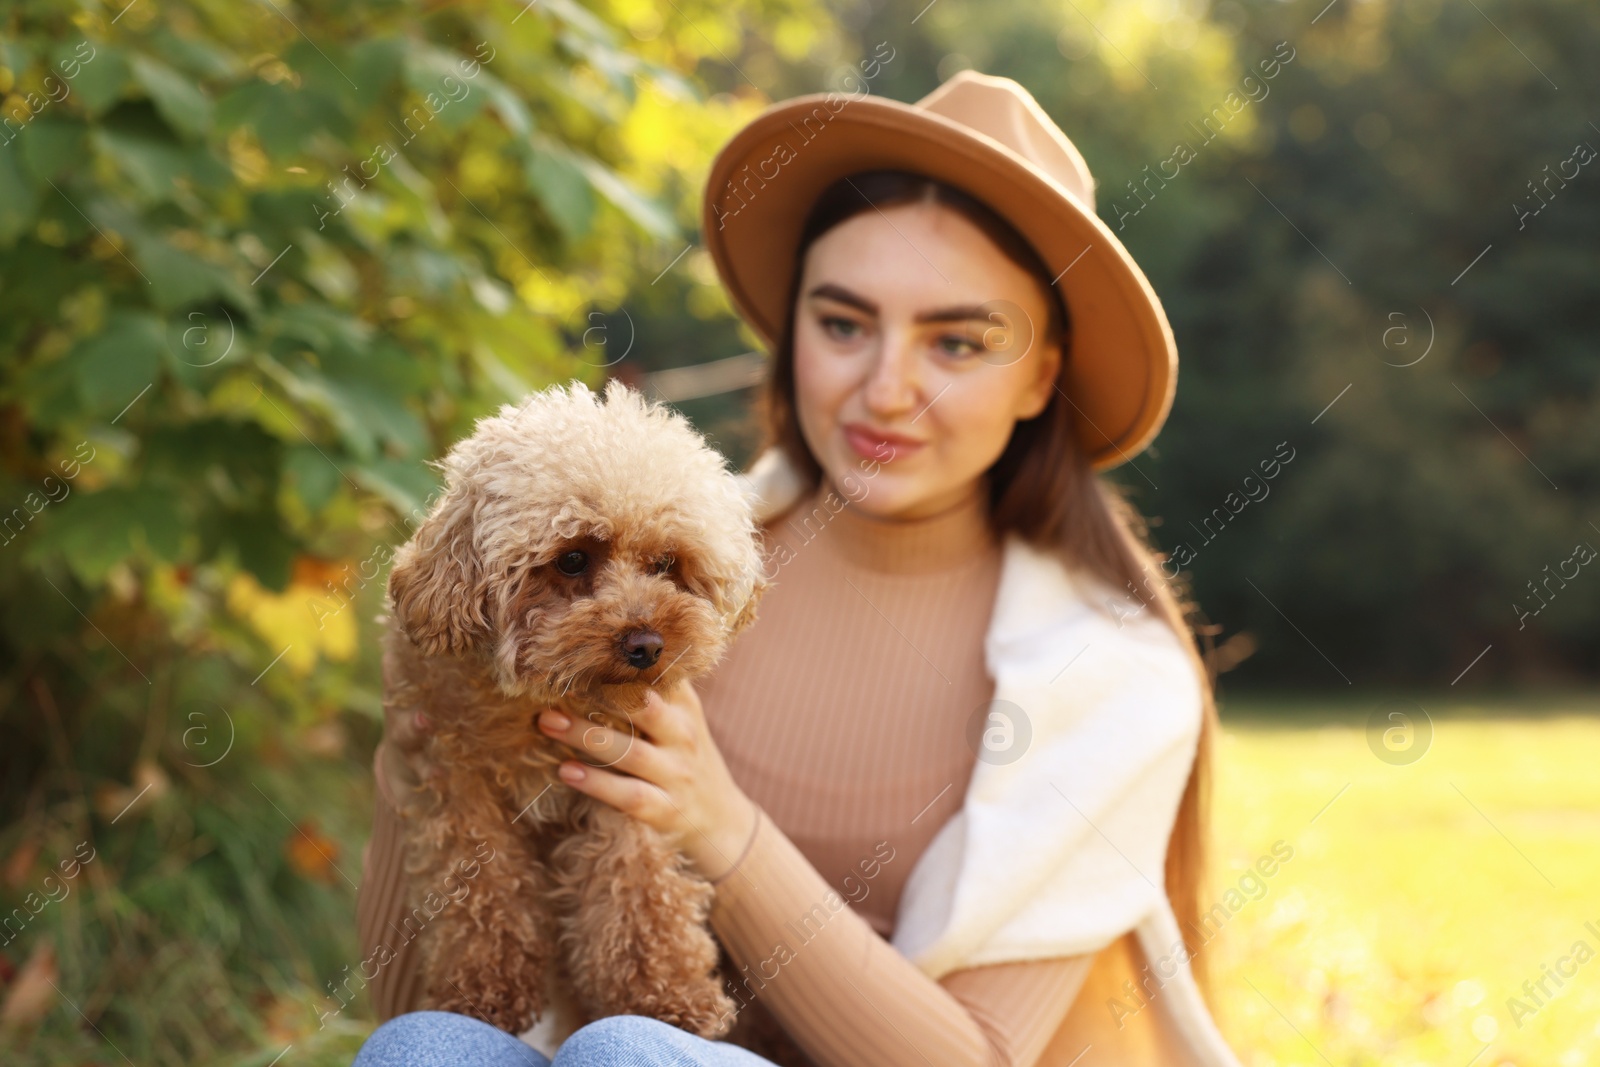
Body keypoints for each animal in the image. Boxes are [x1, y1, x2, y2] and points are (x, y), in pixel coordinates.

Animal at [384, 382, 764, 1043]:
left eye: (667, 564)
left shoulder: (624, 784)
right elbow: (480, 891)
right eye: (571, 559)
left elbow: (639, 893)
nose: (646, 645)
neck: (541, 703)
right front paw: (483, 990)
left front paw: (668, 997)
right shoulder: (454, 785)